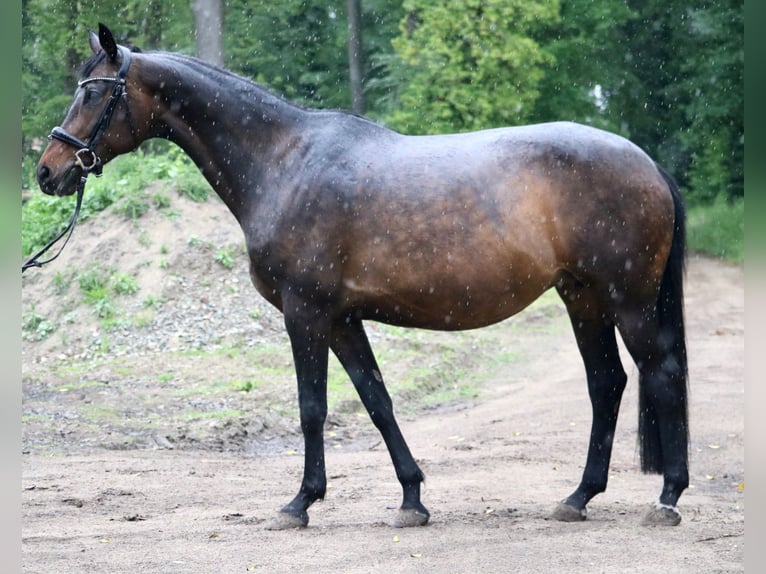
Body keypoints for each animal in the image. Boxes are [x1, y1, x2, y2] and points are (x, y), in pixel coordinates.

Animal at [36, 25, 692, 532]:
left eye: (93, 92)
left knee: (660, 373)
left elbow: (313, 407)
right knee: (607, 384)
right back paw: (578, 498)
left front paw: (299, 504)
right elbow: (377, 402)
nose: (49, 171)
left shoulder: (305, 314)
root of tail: (648, 163)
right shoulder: (342, 320)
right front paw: (412, 500)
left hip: (628, 301)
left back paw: (667, 498)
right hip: (583, 299)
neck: (283, 162)